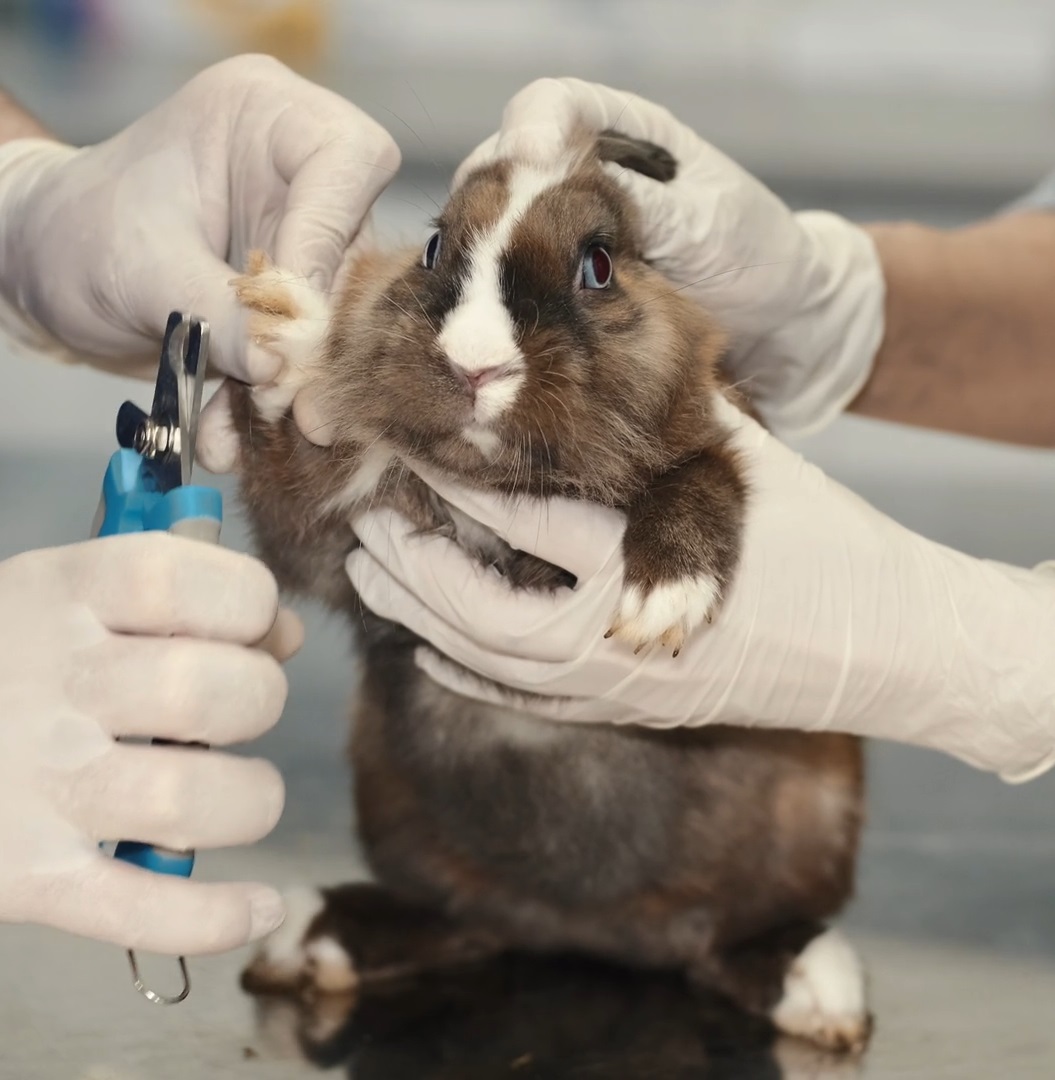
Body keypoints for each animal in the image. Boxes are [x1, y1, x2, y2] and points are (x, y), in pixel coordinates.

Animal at [226, 123, 872, 1055]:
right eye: (433, 249)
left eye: (597, 265)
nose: (474, 367)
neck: (499, 487)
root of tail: (586, 933)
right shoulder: (335, 546)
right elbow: (293, 487)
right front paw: (287, 336)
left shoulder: (709, 436)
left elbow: (705, 474)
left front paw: (661, 603)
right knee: (458, 923)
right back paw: (313, 941)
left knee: (734, 940)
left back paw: (820, 990)